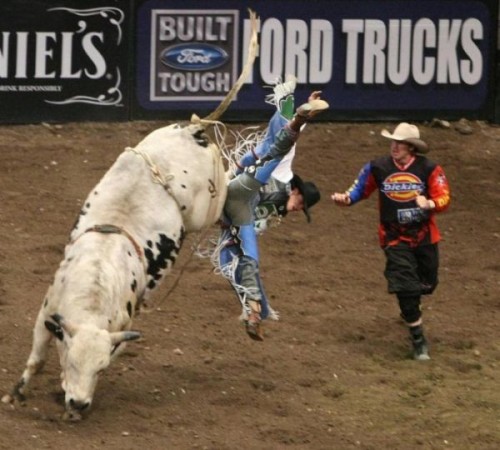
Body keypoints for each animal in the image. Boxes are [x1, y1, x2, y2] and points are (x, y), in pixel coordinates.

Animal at [2, 10, 262, 420]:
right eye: (70, 360)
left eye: (101, 368)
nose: (79, 402)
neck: (94, 285)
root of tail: (194, 129)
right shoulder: (47, 313)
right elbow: (37, 357)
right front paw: (17, 392)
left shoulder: (121, 328)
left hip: (207, 203)